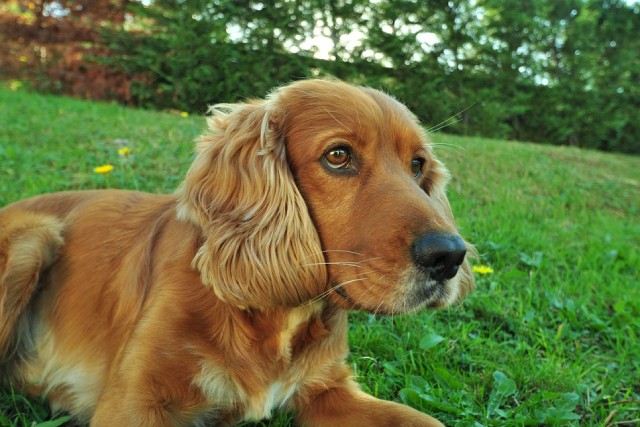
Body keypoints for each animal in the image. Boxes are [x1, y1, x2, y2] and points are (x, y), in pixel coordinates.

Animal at [0, 78, 472, 426]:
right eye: (338, 156)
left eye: (418, 165)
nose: (450, 256)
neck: (274, 316)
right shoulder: (133, 403)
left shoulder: (328, 390)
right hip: (34, 239)